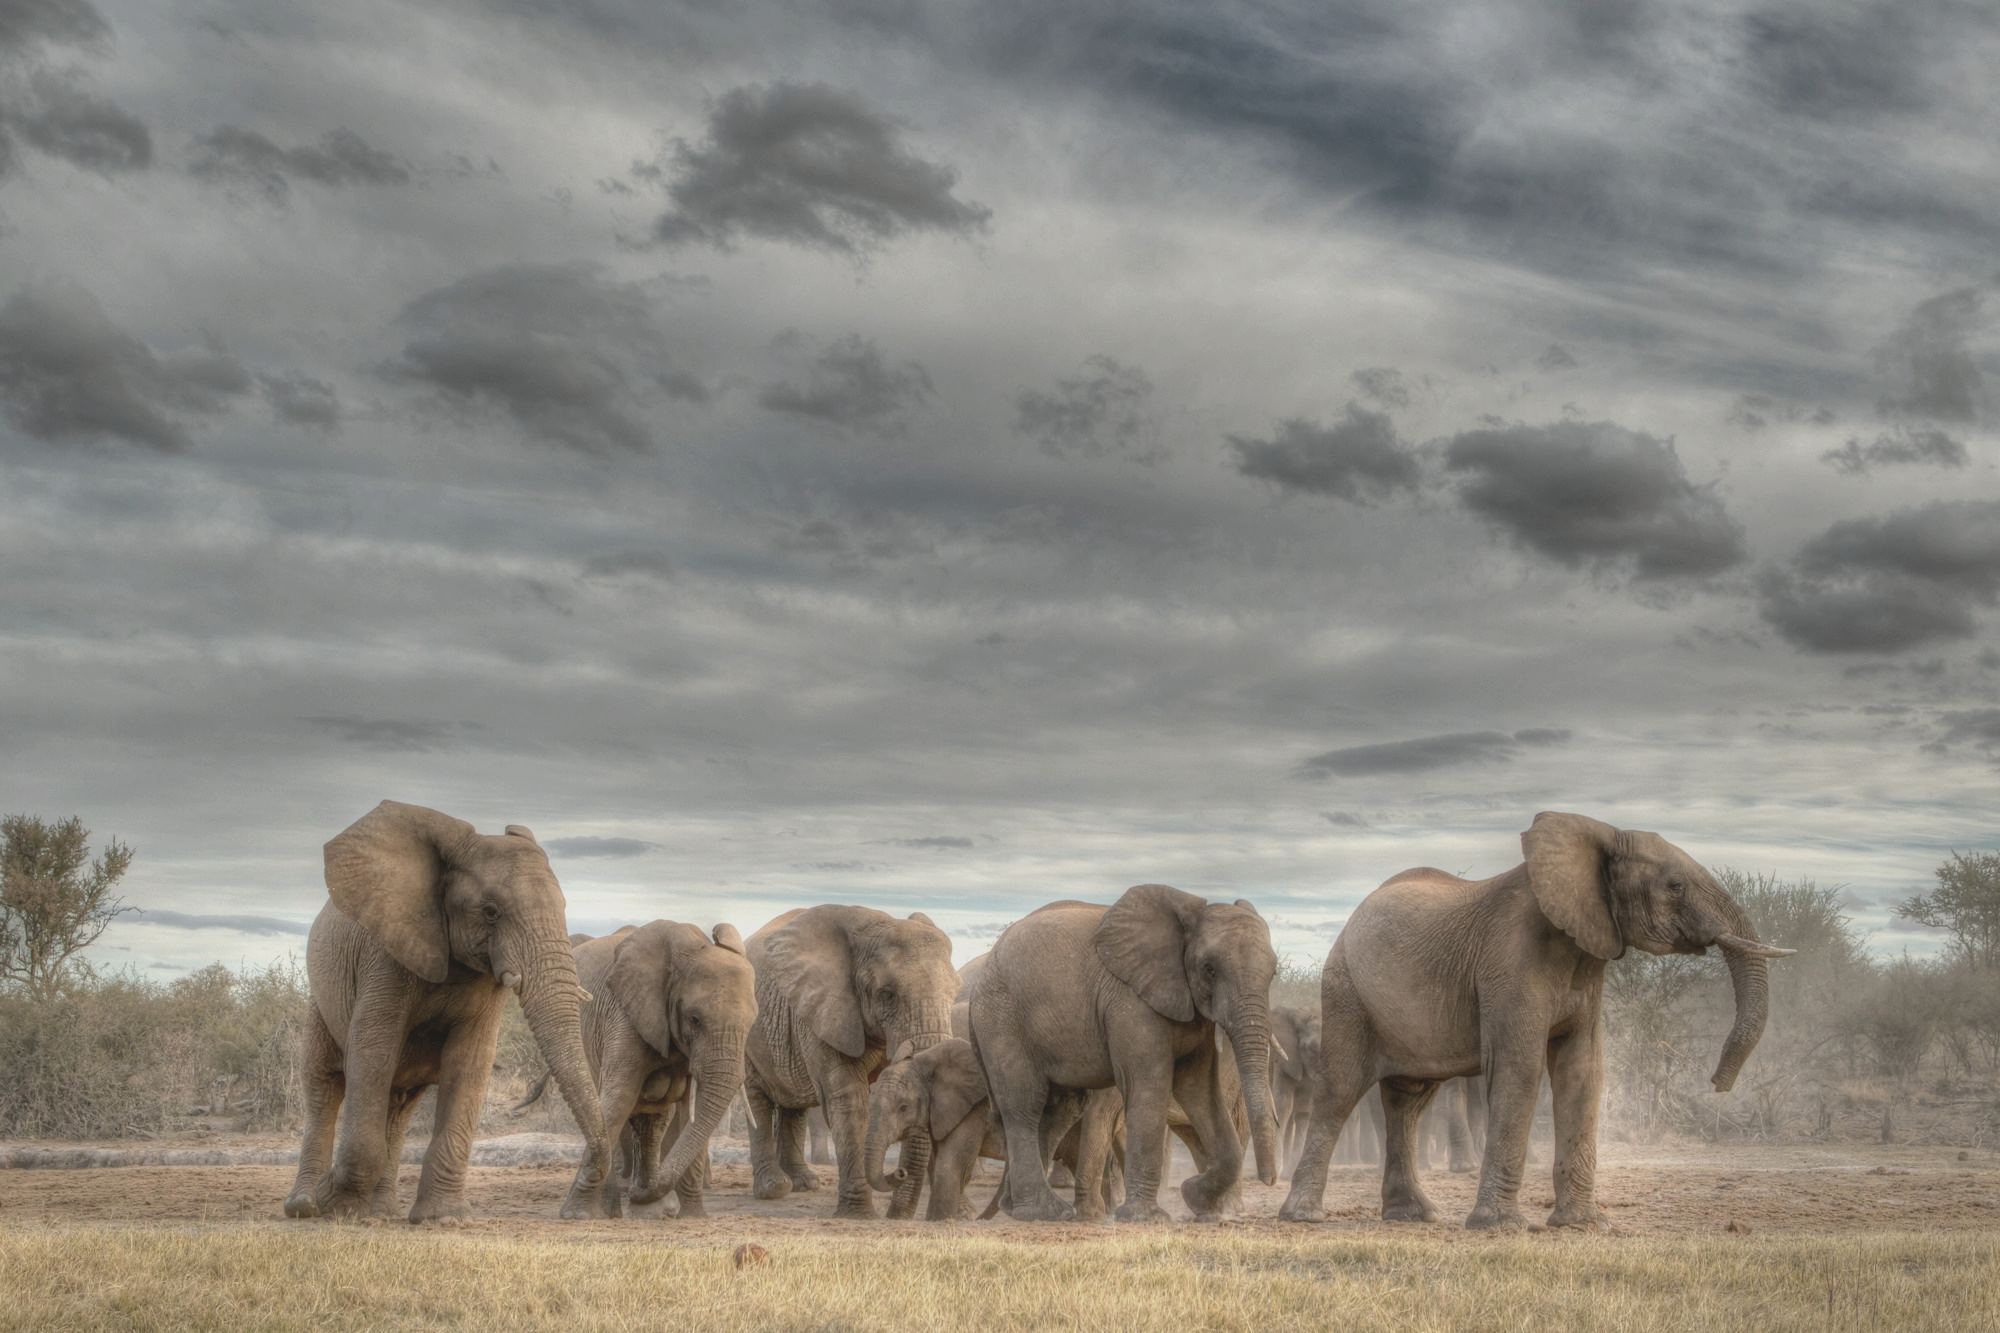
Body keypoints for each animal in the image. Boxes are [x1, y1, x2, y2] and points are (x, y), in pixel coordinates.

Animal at [283, 801, 610, 1223]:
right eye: (491, 912)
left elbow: (469, 1061)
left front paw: (444, 1217)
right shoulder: (385, 954)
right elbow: (372, 1051)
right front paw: (339, 1209)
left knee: (400, 1105)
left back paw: (383, 1212)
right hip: (320, 1001)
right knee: (323, 1086)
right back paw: (306, 1206)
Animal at [552, 920, 757, 1218]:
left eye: (753, 1023)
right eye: (694, 1019)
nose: (639, 1194)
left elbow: (690, 1112)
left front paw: (693, 1217)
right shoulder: (626, 1016)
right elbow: (617, 1100)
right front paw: (577, 1215)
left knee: (654, 1121)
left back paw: (648, 1209)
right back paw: (614, 1210)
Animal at [741, 904, 958, 1218]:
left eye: (955, 993)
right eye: (887, 995)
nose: (898, 1174)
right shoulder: (824, 1010)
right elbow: (849, 1098)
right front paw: (859, 1214)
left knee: (793, 1105)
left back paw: (805, 1184)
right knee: (757, 1096)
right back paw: (774, 1189)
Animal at [970, 886, 1281, 1222]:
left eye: (1273, 974)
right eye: (1209, 969)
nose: (1271, 1180)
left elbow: (1199, 1090)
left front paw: (1195, 1198)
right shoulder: (1131, 1002)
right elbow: (1148, 1085)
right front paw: (1147, 1217)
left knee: (1057, 1110)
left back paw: (1018, 1208)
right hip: (1002, 1021)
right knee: (1025, 1104)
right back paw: (1043, 1211)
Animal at [1281, 811, 1795, 1230]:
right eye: (1674, 886)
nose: (1717, 1083)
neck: (1597, 838)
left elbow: (1582, 1072)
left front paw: (1583, 1226)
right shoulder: (1510, 964)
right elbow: (1520, 1069)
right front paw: (1501, 1226)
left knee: (1409, 1099)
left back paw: (1414, 1216)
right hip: (1345, 989)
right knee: (1342, 1090)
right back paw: (1303, 1215)